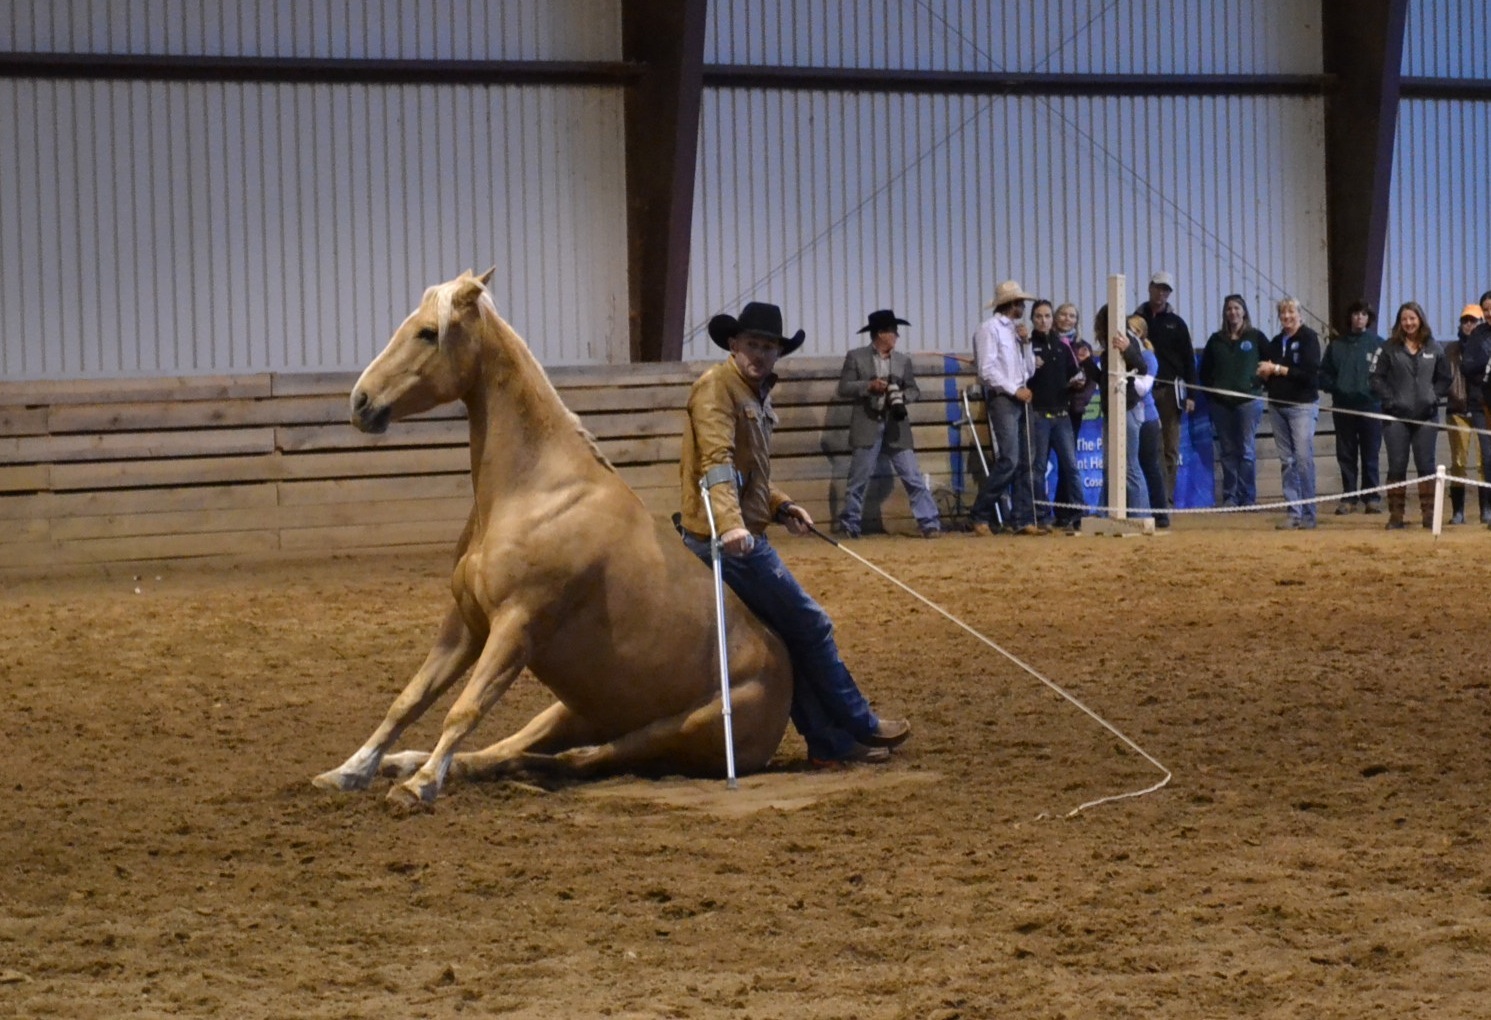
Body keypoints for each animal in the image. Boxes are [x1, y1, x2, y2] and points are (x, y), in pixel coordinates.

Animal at [312, 269, 794, 808]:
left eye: (428, 333)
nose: (360, 402)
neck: (537, 491)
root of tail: (784, 683)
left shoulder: (516, 627)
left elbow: (463, 709)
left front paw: (419, 787)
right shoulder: (465, 625)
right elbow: (409, 699)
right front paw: (351, 771)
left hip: (668, 731)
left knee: (572, 759)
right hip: (571, 709)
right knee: (507, 749)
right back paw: (410, 763)